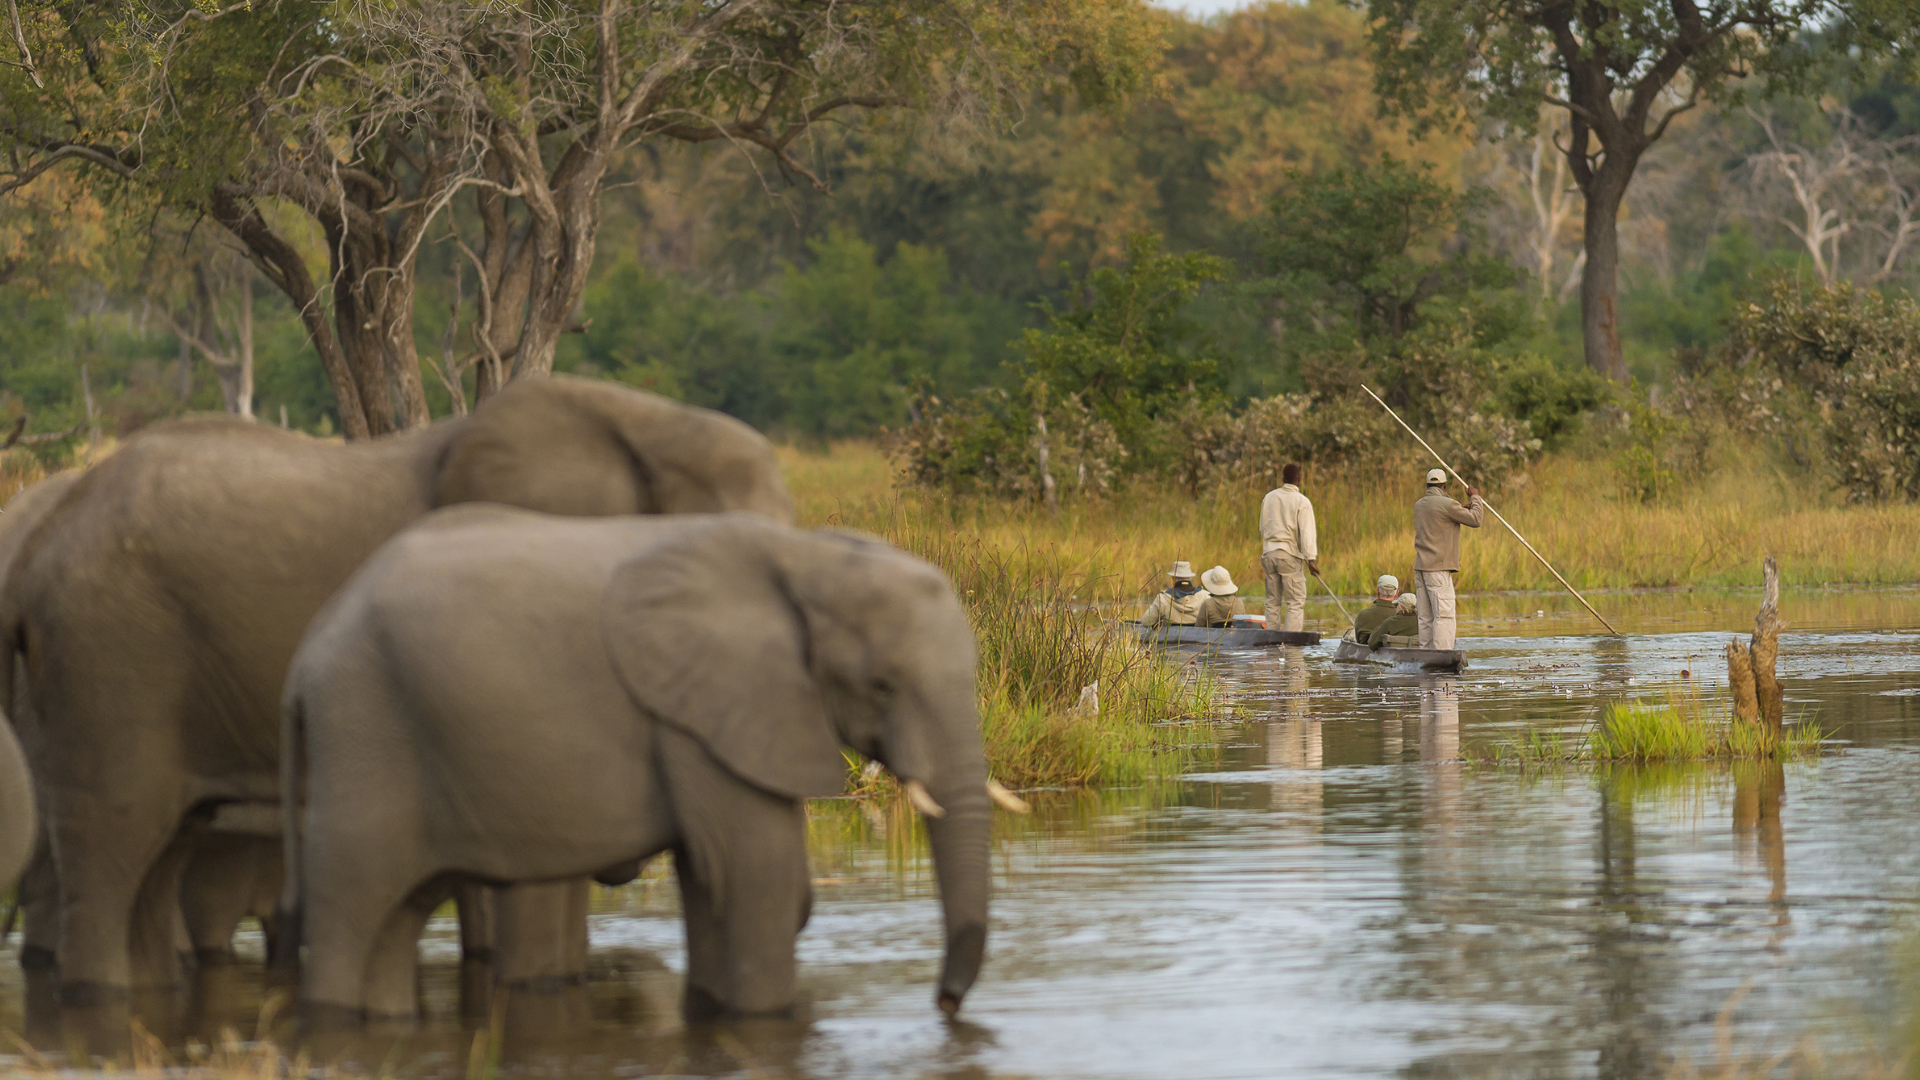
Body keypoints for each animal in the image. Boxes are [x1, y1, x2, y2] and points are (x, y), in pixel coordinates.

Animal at [281, 507, 1022, 1021]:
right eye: (882, 686)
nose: (946, 1004)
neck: (805, 553)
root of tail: (307, 652)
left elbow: (711, 876)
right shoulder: (698, 712)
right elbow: (756, 873)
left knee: (395, 917)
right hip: (365, 727)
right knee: (353, 899)